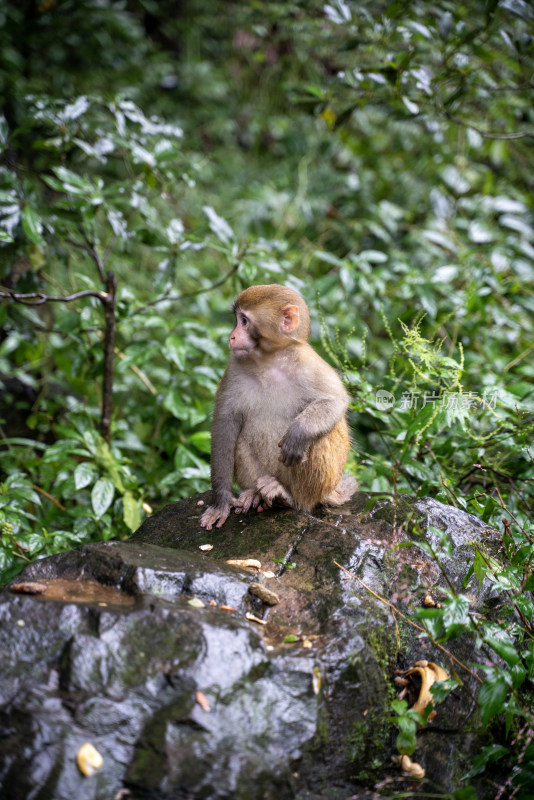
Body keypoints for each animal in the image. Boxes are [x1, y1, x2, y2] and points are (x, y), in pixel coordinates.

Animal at [201, 282, 360, 532]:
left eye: (244, 321)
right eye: (237, 319)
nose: (232, 336)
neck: (269, 359)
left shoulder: (307, 361)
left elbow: (335, 400)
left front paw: (298, 434)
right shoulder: (235, 366)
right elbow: (225, 423)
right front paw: (221, 501)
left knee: (320, 438)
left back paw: (288, 498)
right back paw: (255, 494)